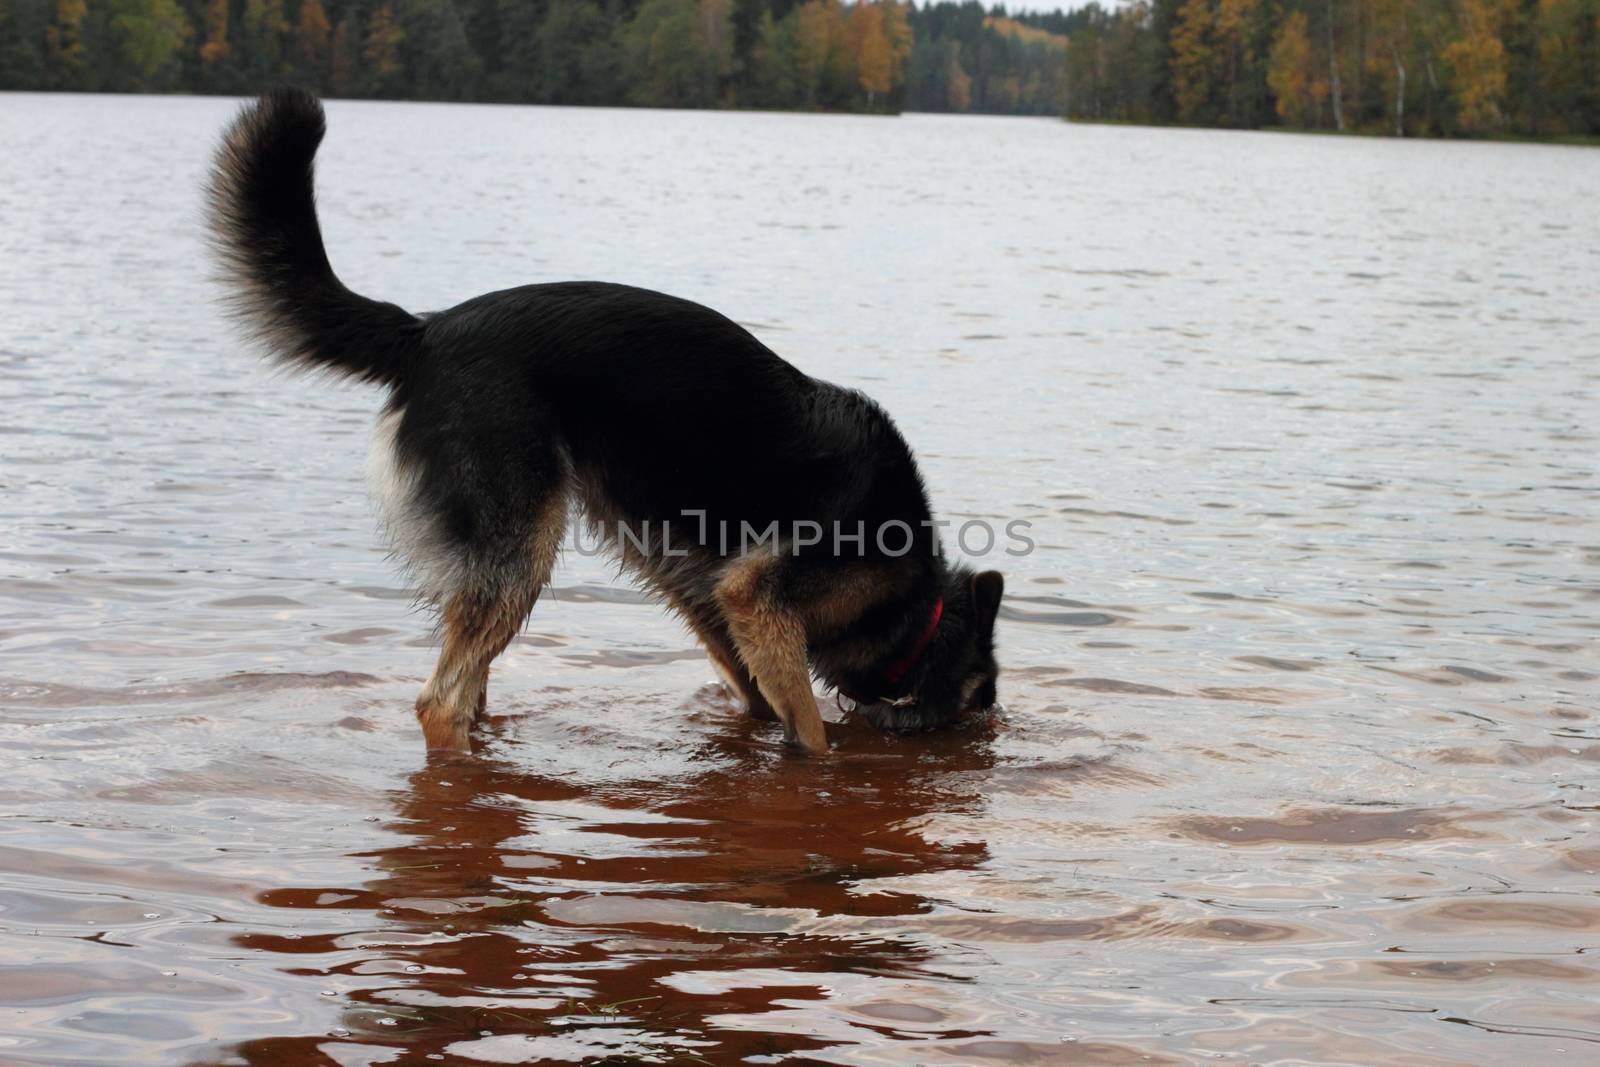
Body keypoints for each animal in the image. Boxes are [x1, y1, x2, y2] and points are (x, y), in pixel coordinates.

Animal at [200, 89, 998, 758]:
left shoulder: (709, 596)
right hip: (520, 553)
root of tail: (423, 332)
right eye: (976, 705)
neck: (915, 598)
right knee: (440, 702)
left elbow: (758, 692)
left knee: (468, 685)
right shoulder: (760, 596)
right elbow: (808, 726)